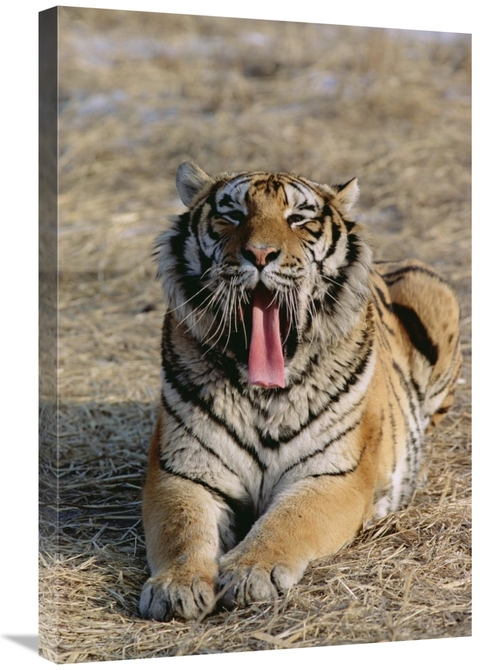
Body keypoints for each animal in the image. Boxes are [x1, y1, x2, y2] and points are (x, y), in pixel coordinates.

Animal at [139, 161, 462, 621]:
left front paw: (250, 571)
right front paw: (175, 587)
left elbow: (289, 521)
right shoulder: (182, 472)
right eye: (232, 215)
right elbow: (181, 527)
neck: (262, 393)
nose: (259, 255)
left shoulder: (333, 474)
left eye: (298, 219)